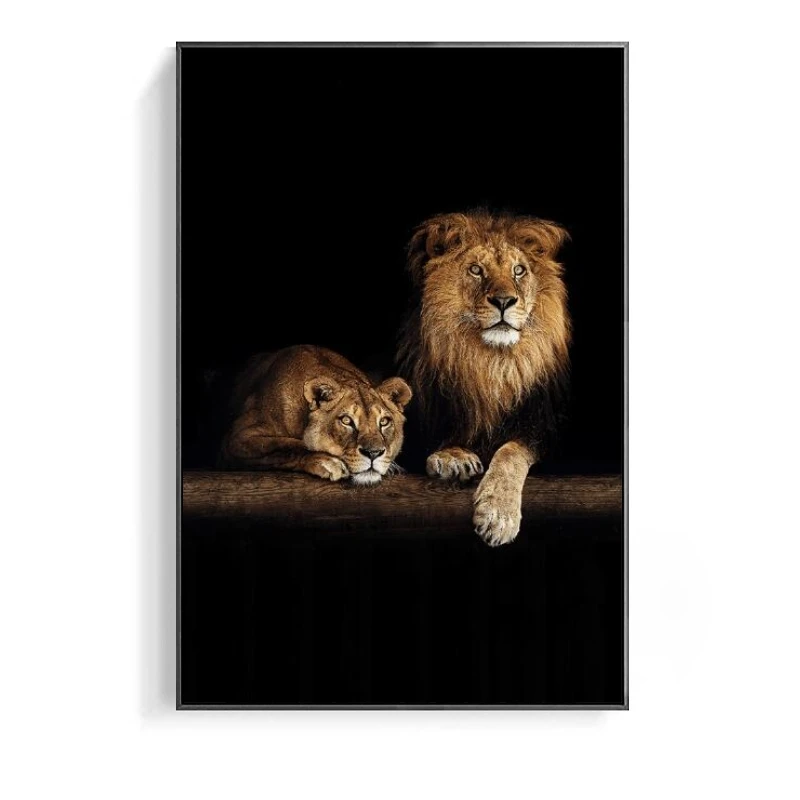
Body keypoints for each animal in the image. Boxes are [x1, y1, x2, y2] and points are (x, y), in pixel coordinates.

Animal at [219, 346, 413, 486]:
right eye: (346, 420)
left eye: (384, 422)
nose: (373, 453)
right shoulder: (236, 438)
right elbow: (285, 446)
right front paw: (328, 461)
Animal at [397, 211, 571, 545]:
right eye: (476, 270)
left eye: (519, 270)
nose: (504, 301)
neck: (490, 365)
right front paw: (453, 457)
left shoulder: (542, 427)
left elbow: (511, 451)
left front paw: (498, 515)